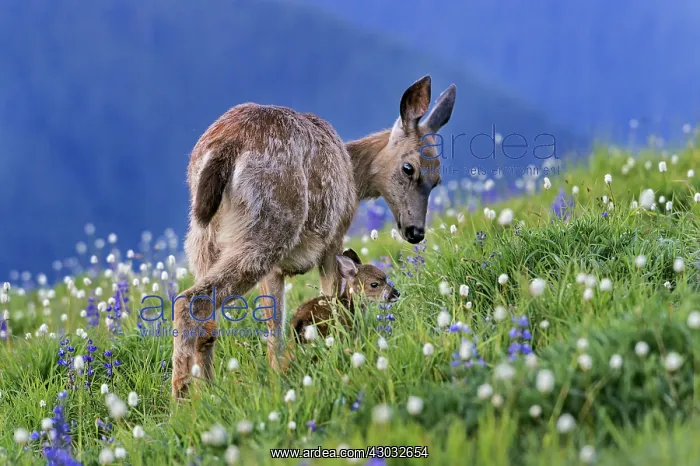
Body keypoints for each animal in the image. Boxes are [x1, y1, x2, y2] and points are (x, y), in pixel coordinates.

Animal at [172, 75, 456, 399]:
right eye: (409, 168)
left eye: (437, 180)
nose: (415, 232)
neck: (352, 173)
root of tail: (226, 147)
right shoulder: (333, 240)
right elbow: (329, 297)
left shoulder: (277, 269)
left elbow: (274, 325)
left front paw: (277, 376)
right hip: (270, 225)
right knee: (191, 302)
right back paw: (181, 399)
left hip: (202, 238)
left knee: (207, 326)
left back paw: (207, 394)